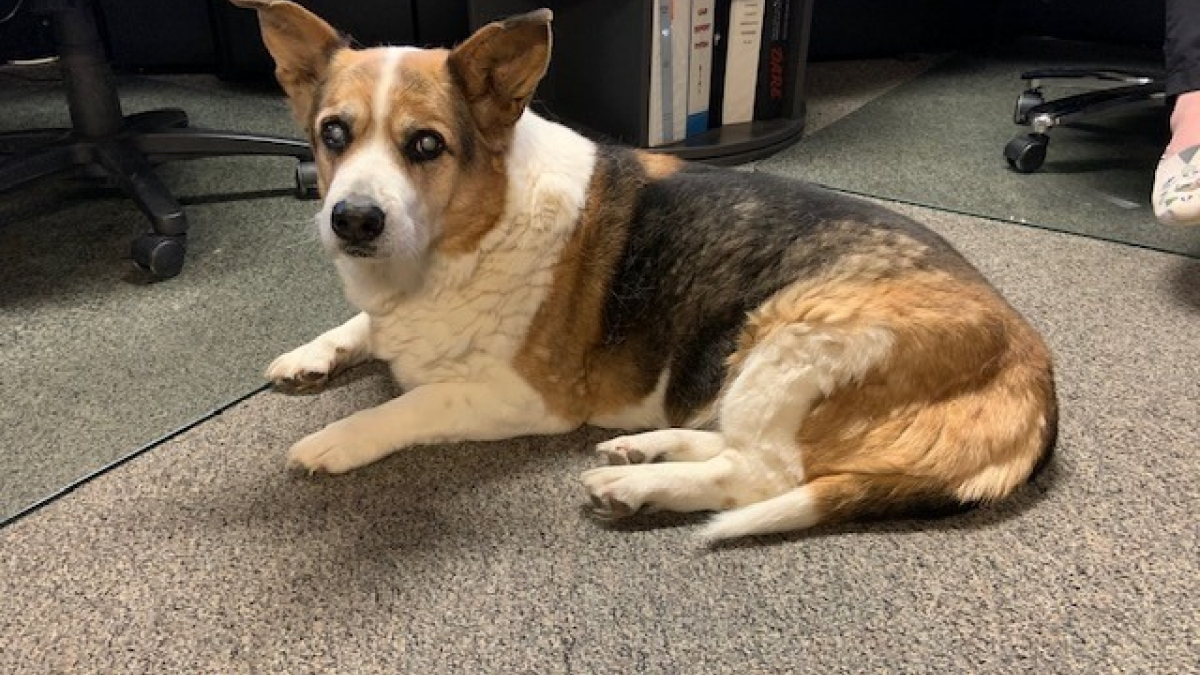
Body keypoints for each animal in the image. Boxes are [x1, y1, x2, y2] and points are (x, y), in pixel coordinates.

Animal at [236, 0, 1060, 538]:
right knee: (744, 447)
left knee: (762, 473)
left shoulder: (523, 397)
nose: (352, 220)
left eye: (427, 145)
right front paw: (312, 355)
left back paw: (635, 483)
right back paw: (647, 448)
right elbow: (358, 326)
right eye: (332, 134)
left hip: (793, 340)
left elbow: (408, 405)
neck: (463, 239)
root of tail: (1034, 366)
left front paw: (335, 440)